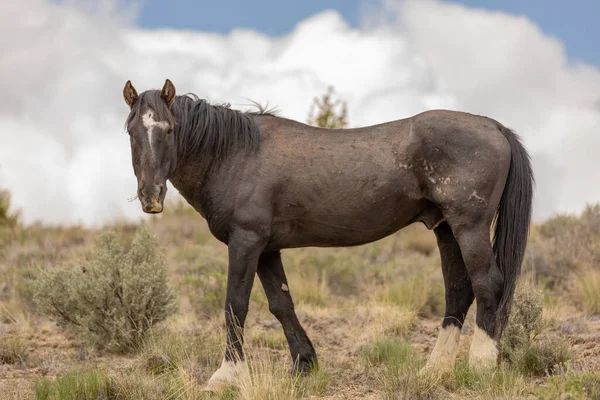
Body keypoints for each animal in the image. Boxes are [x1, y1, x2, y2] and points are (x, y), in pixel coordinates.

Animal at [122, 78, 536, 390]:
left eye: (169, 129)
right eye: (131, 131)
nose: (150, 197)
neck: (235, 154)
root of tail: (493, 126)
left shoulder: (246, 242)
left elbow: (235, 305)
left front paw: (226, 376)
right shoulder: (267, 249)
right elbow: (281, 304)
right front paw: (304, 364)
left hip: (469, 227)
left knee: (487, 286)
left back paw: (481, 366)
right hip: (446, 229)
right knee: (458, 292)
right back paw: (434, 371)